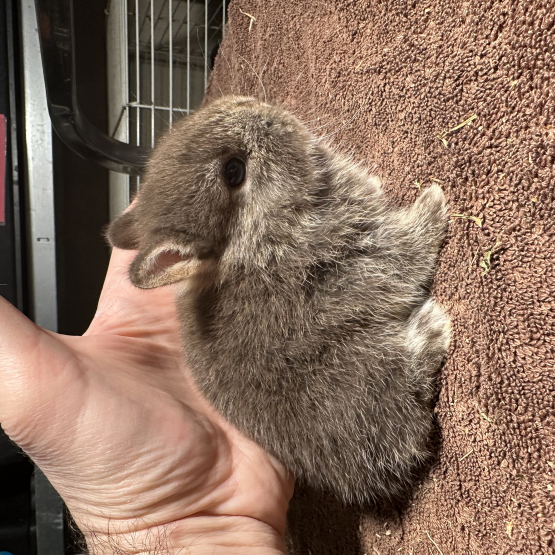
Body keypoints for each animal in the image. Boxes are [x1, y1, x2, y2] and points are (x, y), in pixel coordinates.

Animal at [108, 97, 452, 506]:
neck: (261, 233)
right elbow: (408, 252)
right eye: (234, 171)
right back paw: (433, 326)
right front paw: (435, 200)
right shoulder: (360, 252)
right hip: (371, 365)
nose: (255, 107)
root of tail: (365, 481)